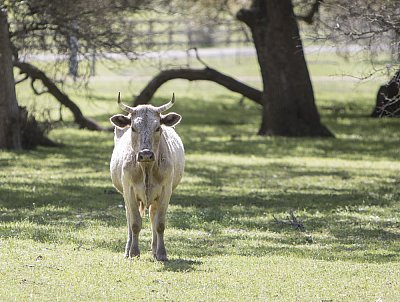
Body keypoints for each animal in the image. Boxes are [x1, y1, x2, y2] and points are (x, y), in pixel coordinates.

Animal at [109, 93, 184, 260]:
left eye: (158, 128)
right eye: (133, 127)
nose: (145, 154)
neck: (146, 168)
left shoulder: (166, 191)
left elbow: (159, 224)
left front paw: (161, 253)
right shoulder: (129, 190)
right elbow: (135, 223)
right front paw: (134, 252)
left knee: (153, 216)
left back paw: (154, 249)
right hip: (126, 195)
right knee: (129, 218)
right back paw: (127, 250)